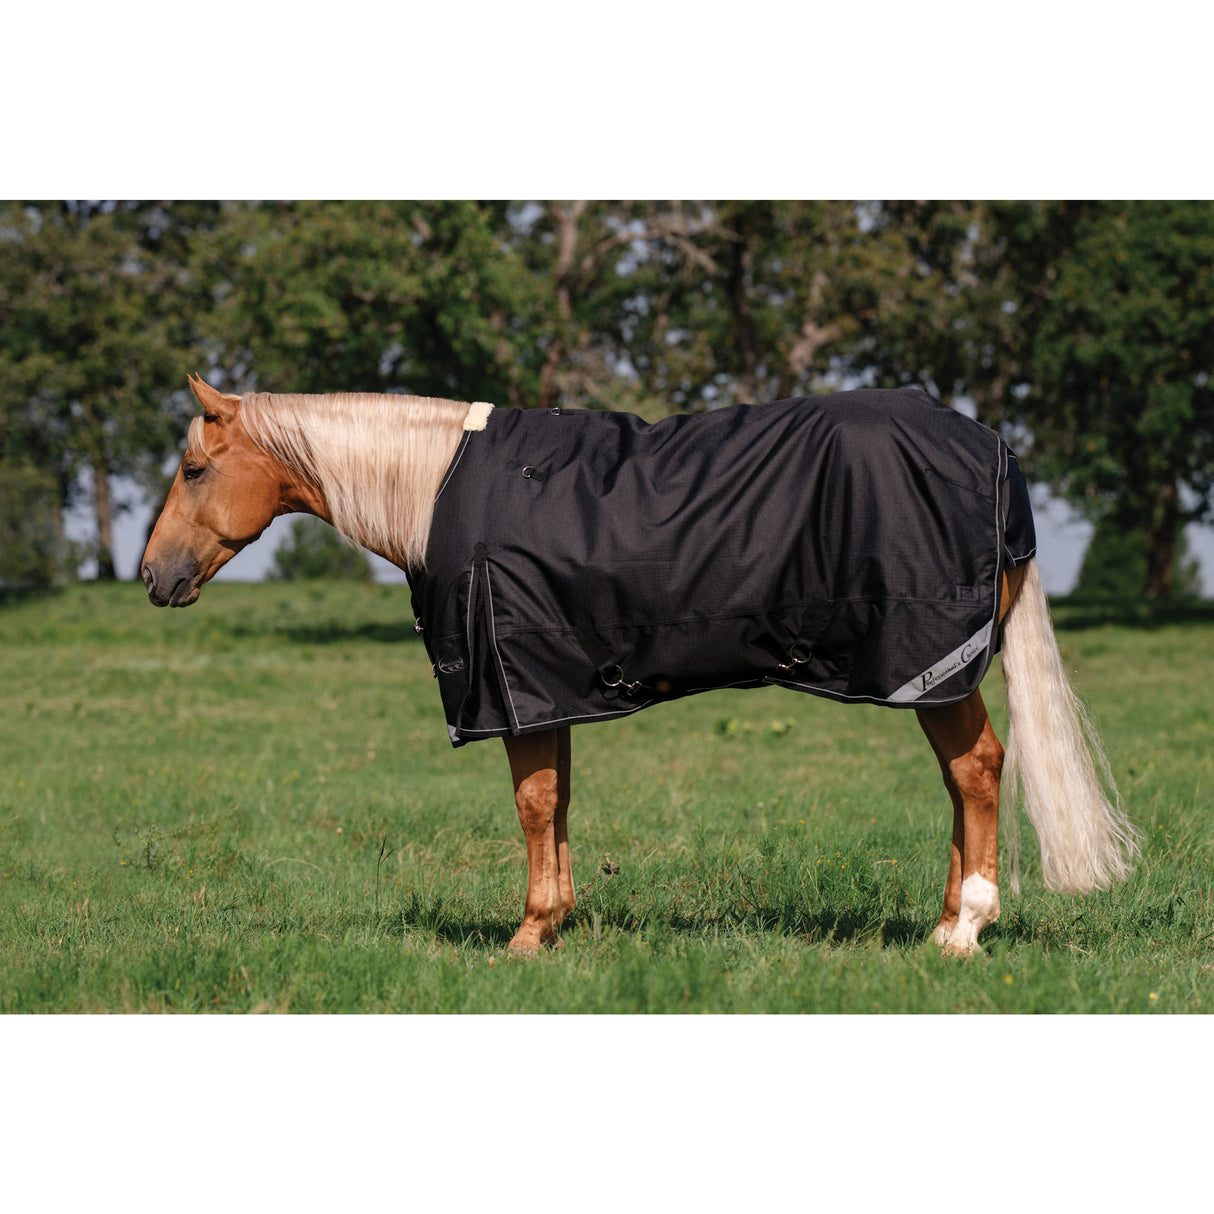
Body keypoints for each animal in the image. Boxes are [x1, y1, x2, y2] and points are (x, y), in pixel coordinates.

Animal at [142, 374, 1140, 955]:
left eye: (192, 470)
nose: (154, 576)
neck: (437, 488)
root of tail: (992, 451)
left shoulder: (509, 681)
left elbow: (531, 803)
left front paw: (527, 938)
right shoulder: (546, 687)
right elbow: (557, 802)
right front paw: (558, 922)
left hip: (929, 665)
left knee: (977, 771)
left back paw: (965, 928)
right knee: (962, 781)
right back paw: (940, 924)